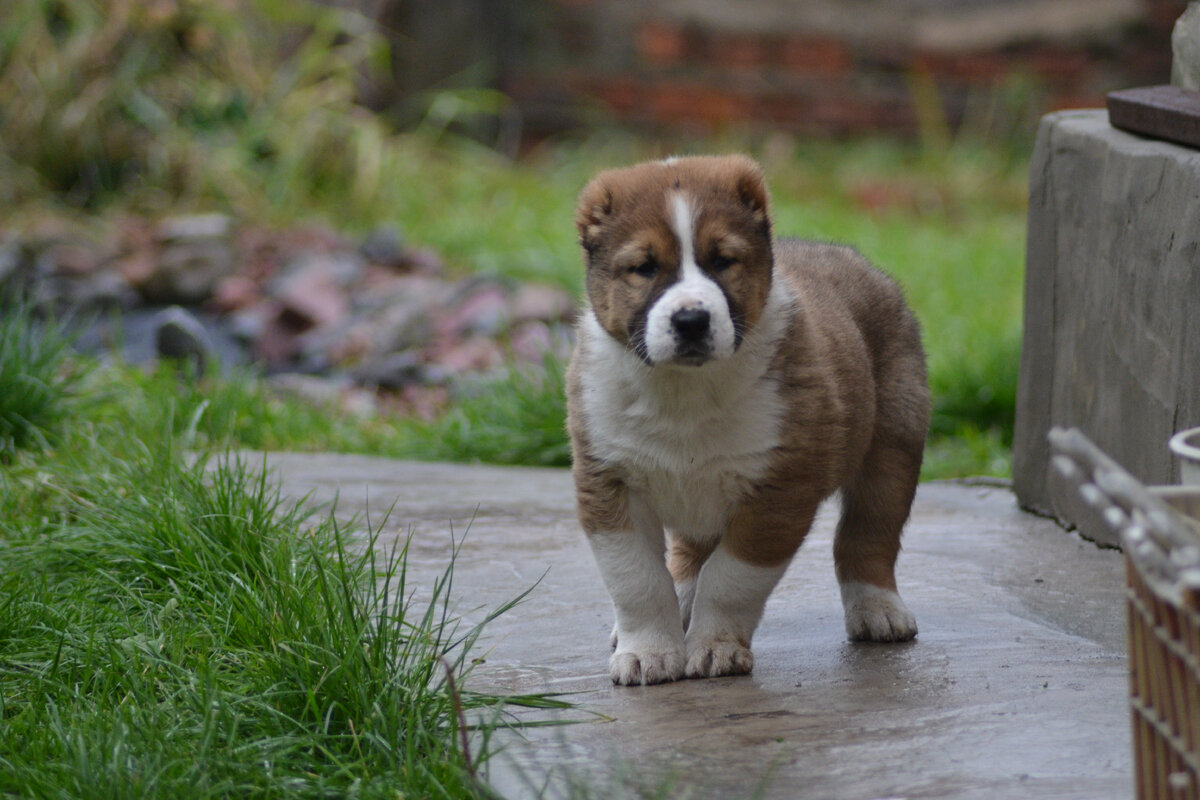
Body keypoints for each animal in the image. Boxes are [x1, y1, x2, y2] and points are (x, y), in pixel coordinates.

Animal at [566, 155, 931, 690]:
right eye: (644, 267)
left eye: (723, 261)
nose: (691, 320)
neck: (683, 390)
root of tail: (861, 264)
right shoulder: (609, 481)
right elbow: (636, 579)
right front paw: (649, 652)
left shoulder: (778, 492)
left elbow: (731, 578)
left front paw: (715, 647)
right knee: (688, 556)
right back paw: (681, 603)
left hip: (893, 445)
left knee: (868, 533)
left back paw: (878, 609)